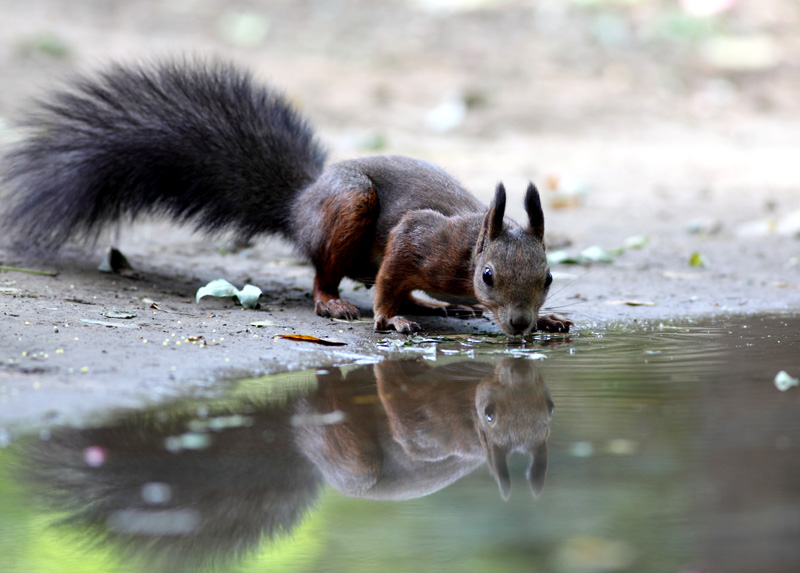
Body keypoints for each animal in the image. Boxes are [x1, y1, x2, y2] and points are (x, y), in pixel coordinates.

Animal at [3, 59, 572, 336]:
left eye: (548, 278)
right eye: (488, 276)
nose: (520, 324)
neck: (469, 245)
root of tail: (300, 205)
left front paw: (549, 320)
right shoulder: (422, 236)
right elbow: (392, 278)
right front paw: (388, 320)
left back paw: (440, 306)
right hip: (349, 207)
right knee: (327, 273)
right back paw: (334, 303)